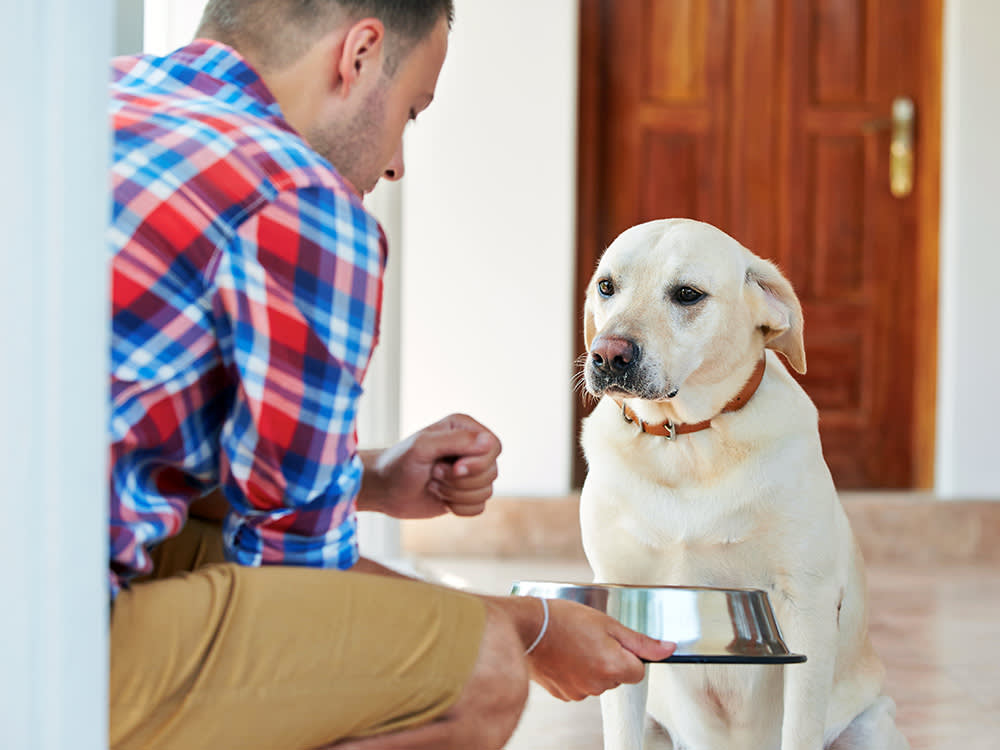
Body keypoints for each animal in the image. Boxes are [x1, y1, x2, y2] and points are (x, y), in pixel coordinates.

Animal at [576, 219, 912, 750]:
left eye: (687, 294)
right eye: (607, 286)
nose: (608, 355)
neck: (686, 440)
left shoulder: (806, 604)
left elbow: (799, 728)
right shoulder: (621, 596)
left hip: (871, 725)